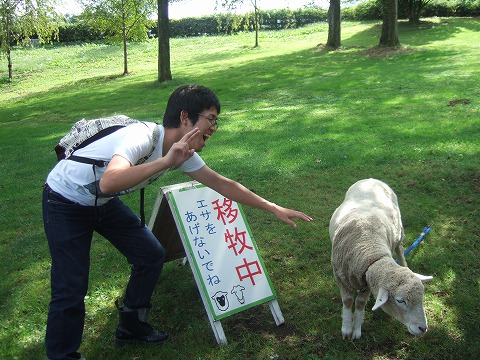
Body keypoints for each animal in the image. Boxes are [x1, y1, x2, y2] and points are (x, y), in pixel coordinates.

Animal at [328, 179, 434, 340]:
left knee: (400, 250)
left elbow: (360, 303)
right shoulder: (343, 277)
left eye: (422, 296)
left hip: (399, 233)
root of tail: (371, 179)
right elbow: (347, 301)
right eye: (400, 300)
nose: (423, 328)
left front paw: (356, 330)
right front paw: (346, 329)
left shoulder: (367, 281)